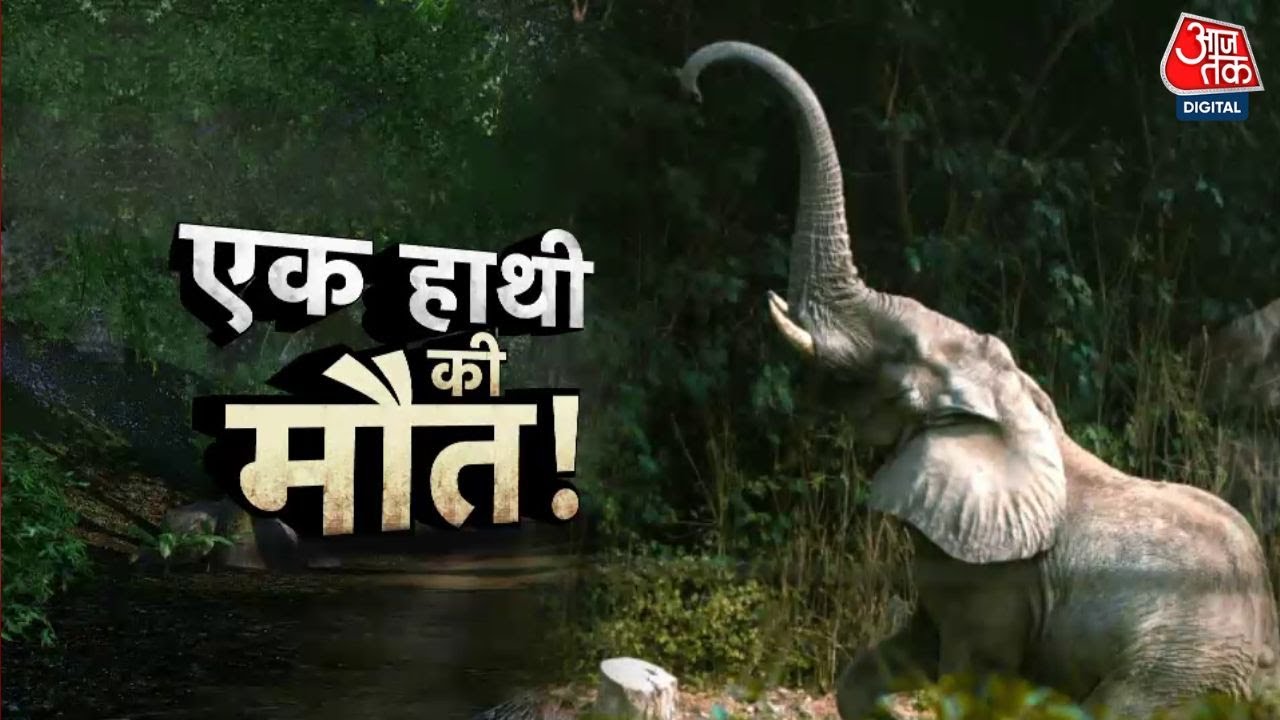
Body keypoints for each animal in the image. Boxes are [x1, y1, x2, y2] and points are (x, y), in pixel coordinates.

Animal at [678, 41, 1280, 718]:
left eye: (903, 357)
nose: (692, 88)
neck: (1013, 404)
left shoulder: (1000, 575)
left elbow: (972, 678)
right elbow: (892, 657)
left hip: (1181, 668)